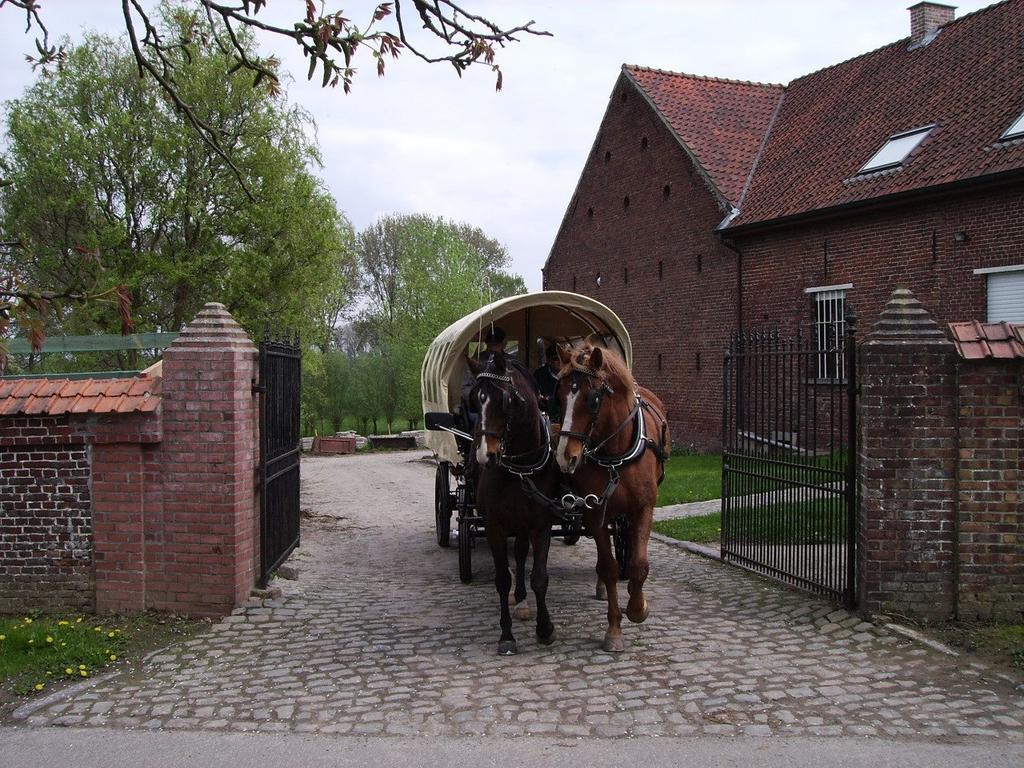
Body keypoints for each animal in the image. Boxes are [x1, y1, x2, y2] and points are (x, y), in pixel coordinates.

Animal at [466, 352, 557, 659]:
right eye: (474, 399)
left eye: (505, 400)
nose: (485, 455)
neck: (520, 468)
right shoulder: (495, 525)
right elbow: (502, 579)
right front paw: (506, 636)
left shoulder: (541, 524)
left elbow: (539, 577)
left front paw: (545, 629)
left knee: (519, 552)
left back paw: (522, 600)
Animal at [557, 346, 667, 651]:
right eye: (558, 395)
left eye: (593, 399)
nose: (565, 456)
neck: (616, 455)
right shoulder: (595, 511)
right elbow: (608, 567)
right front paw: (614, 629)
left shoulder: (643, 508)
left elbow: (639, 565)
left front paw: (637, 607)